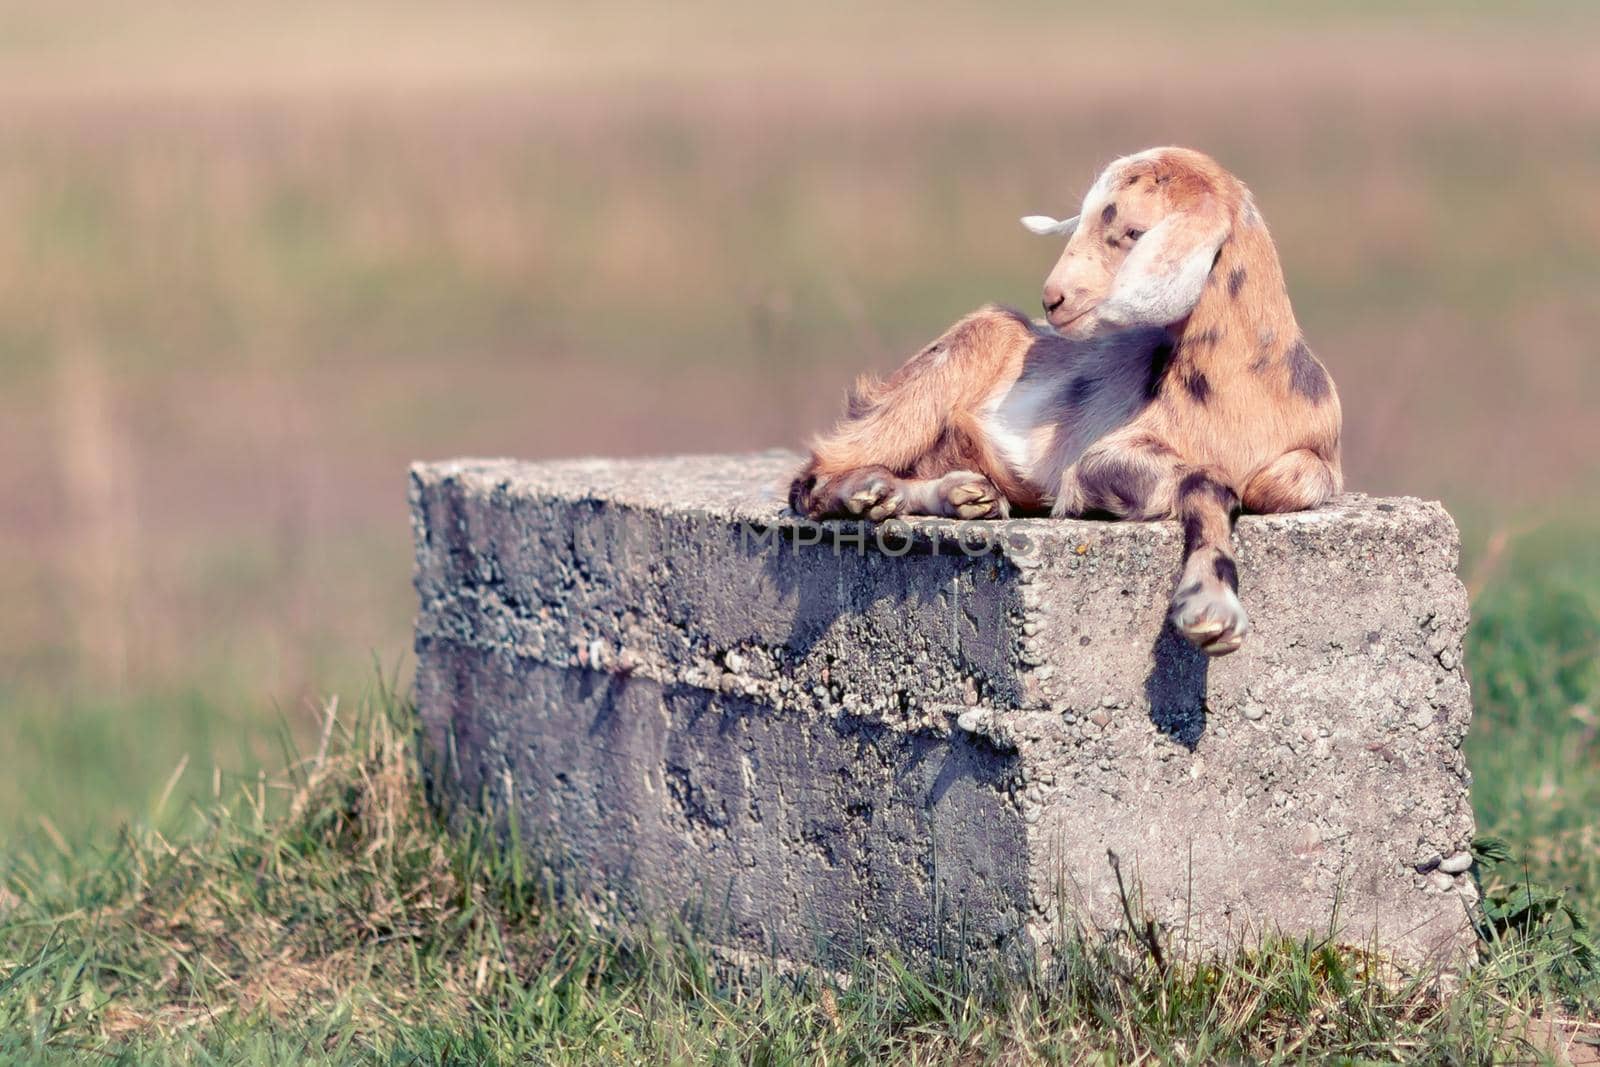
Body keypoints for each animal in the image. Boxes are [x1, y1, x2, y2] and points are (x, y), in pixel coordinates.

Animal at [793, 146, 1344, 655]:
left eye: (1134, 231)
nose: (1052, 300)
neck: (1245, 392)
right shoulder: (1102, 457)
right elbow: (1207, 482)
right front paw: (1210, 611)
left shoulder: (1317, 460)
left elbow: (1287, 482)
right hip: (941, 372)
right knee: (812, 479)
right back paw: (866, 493)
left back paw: (962, 495)